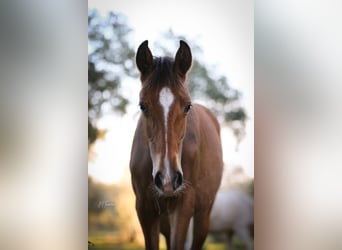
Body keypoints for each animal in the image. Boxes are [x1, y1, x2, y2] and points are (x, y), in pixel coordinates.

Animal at [130, 39, 223, 250]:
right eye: (142, 105)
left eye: (187, 106)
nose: (167, 179)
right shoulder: (144, 208)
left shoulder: (183, 205)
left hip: (203, 214)